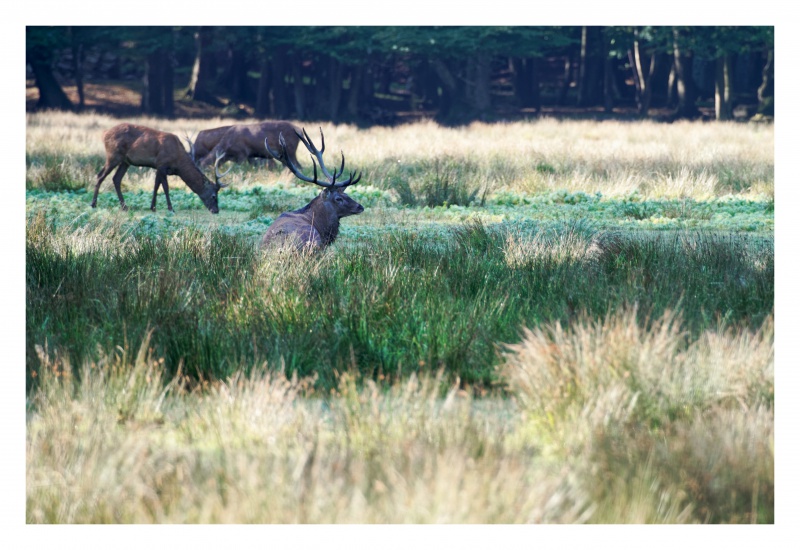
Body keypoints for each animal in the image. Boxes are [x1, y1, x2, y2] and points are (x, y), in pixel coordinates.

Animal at [94, 124, 233, 215]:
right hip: (113, 155)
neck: (178, 161)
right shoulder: (162, 164)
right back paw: (93, 204)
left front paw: (153, 207)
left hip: (125, 161)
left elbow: (156, 185)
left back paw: (124, 207)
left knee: (116, 179)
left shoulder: (158, 167)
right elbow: (165, 187)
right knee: (100, 175)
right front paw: (171, 208)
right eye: (214, 196)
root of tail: (105, 134)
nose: (216, 210)